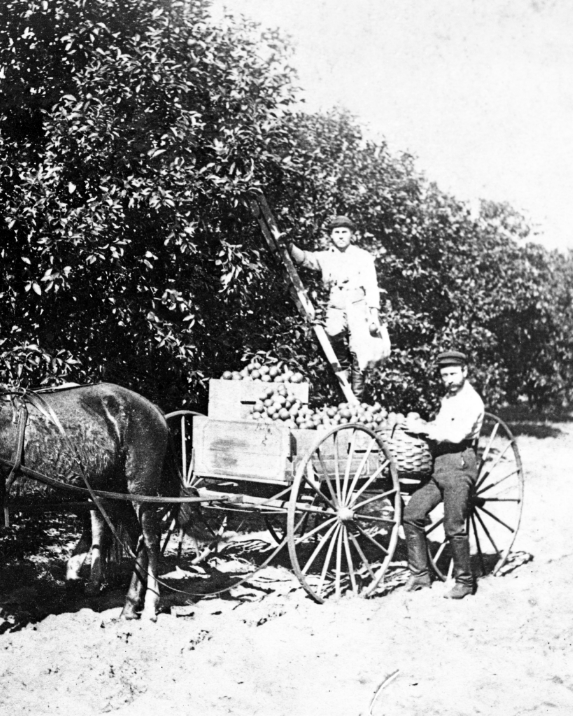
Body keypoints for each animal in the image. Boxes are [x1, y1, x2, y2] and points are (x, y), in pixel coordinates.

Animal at [0, 380, 183, 620]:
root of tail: (154, 409)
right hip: (116, 493)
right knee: (137, 538)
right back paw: (129, 605)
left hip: (141, 489)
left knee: (151, 540)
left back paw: (150, 605)